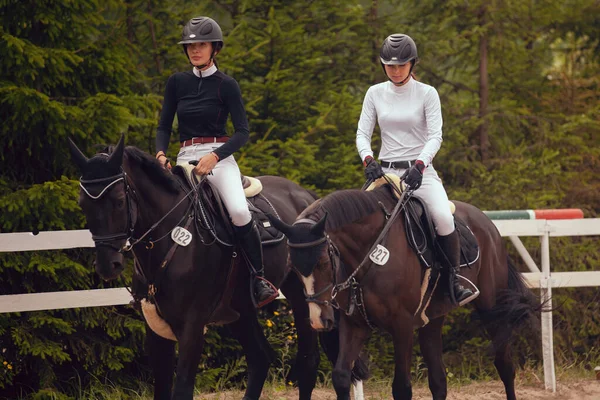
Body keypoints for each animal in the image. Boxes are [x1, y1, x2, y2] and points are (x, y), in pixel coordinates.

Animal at [67, 135, 366, 400]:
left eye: (119, 201)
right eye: (82, 204)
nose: (108, 265)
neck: (171, 237)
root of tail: (306, 196)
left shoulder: (192, 327)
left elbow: (182, 390)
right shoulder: (156, 328)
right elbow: (161, 390)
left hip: (302, 296)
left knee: (307, 362)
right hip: (240, 308)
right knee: (260, 358)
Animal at [270, 185, 548, 400]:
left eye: (323, 263)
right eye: (294, 269)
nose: (320, 320)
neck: (368, 253)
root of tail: (487, 222)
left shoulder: (402, 326)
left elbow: (402, 388)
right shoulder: (354, 324)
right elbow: (340, 377)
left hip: (492, 310)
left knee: (505, 366)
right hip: (432, 319)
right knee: (439, 381)